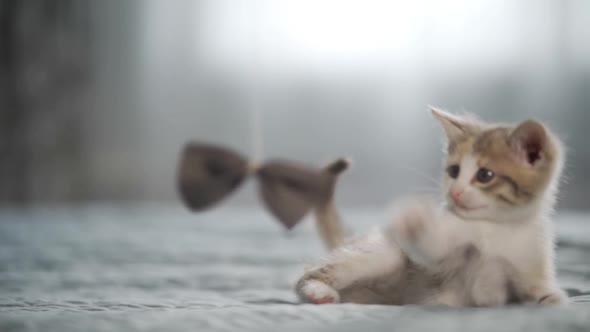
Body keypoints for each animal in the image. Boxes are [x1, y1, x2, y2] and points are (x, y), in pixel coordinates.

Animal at [296, 107, 568, 308]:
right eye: (454, 171)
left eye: (485, 175)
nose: (454, 192)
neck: (494, 225)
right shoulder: (446, 254)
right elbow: (433, 250)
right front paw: (414, 218)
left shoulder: (530, 263)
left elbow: (536, 292)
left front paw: (552, 299)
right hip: (384, 253)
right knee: (308, 273)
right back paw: (317, 291)